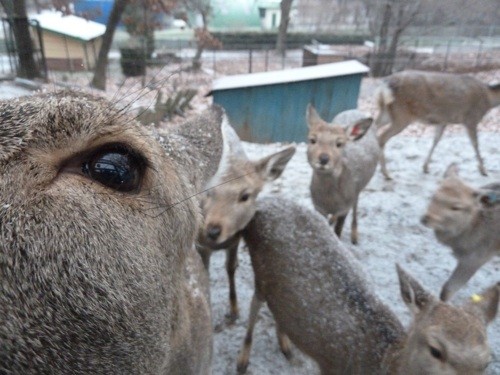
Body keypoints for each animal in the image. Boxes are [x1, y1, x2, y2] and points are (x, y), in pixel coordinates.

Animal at [196, 121, 296, 324]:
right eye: (208, 191)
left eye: (245, 195)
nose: (212, 231)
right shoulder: (201, 245)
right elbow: (205, 273)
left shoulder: (235, 239)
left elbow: (230, 268)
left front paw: (234, 310)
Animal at [237, 197, 500, 375]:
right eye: (436, 350)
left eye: (487, 362)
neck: (381, 360)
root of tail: (264, 203)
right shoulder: (330, 367)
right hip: (259, 270)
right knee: (254, 306)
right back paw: (243, 359)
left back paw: (286, 345)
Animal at [304, 104, 378, 245]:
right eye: (312, 140)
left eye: (339, 143)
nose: (324, 159)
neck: (330, 200)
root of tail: (354, 110)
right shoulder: (318, 207)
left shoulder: (345, 206)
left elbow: (338, 230)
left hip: (359, 189)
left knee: (356, 204)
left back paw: (354, 235)